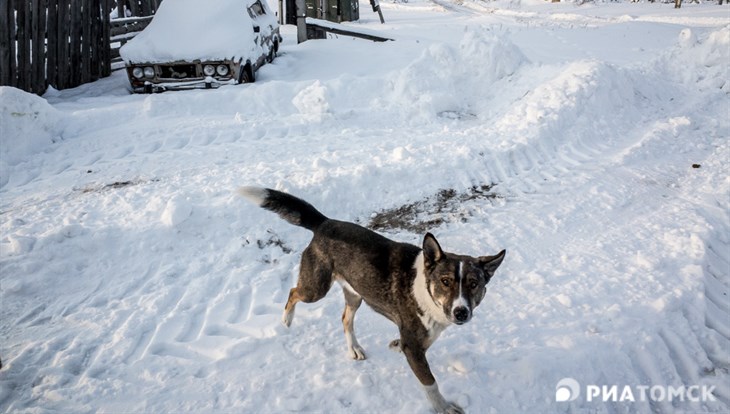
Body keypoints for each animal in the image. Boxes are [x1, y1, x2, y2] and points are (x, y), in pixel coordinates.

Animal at [242, 188, 504, 414]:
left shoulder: (421, 337)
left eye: (474, 284)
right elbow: (430, 381)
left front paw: (396, 345)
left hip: (355, 293)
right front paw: (443, 407)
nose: (461, 312)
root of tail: (325, 223)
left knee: (345, 318)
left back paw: (354, 349)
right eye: (446, 281)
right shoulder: (415, 346)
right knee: (293, 292)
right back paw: (286, 320)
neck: (427, 292)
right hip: (316, 288)